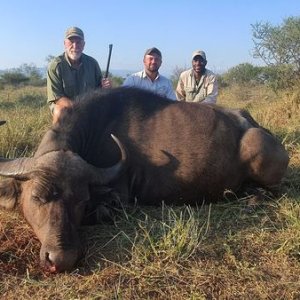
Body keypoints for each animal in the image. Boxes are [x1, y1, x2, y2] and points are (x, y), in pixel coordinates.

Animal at [0, 86, 290, 272]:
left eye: (81, 201)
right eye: (38, 197)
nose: (62, 260)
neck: (95, 129)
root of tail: (254, 125)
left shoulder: (118, 197)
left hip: (257, 149)